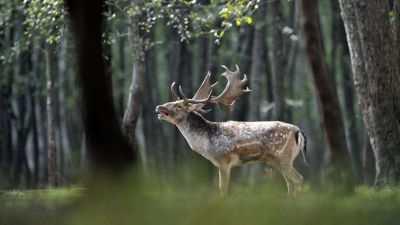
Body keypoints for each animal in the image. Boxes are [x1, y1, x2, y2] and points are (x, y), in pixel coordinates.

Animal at [155, 64, 306, 195]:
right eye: (174, 102)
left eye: (179, 106)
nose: (159, 107)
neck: (207, 143)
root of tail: (298, 131)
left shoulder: (224, 160)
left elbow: (223, 189)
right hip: (278, 160)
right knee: (290, 182)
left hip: (283, 157)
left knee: (298, 179)